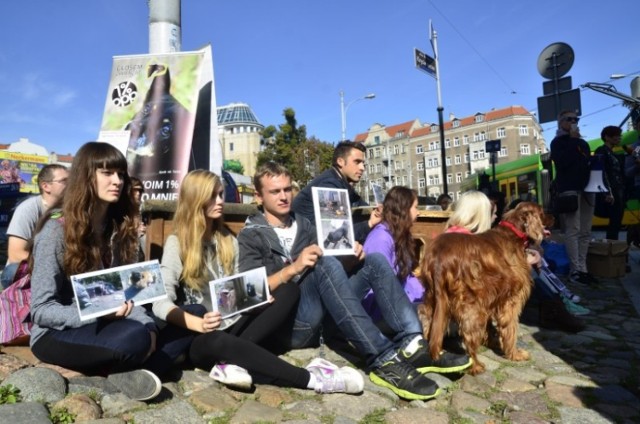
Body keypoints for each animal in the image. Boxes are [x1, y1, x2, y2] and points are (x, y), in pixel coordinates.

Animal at [418, 202, 548, 374]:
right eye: (543, 213)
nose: (553, 218)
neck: (512, 233)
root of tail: (440, 259)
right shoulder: (510, 299)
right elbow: (511, 328)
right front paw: (514, 354)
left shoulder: (491, 296)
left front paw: (492, 341)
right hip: (472, 307)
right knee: (468, 337)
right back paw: (475, 366)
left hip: (432, 299)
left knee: (428, 326)